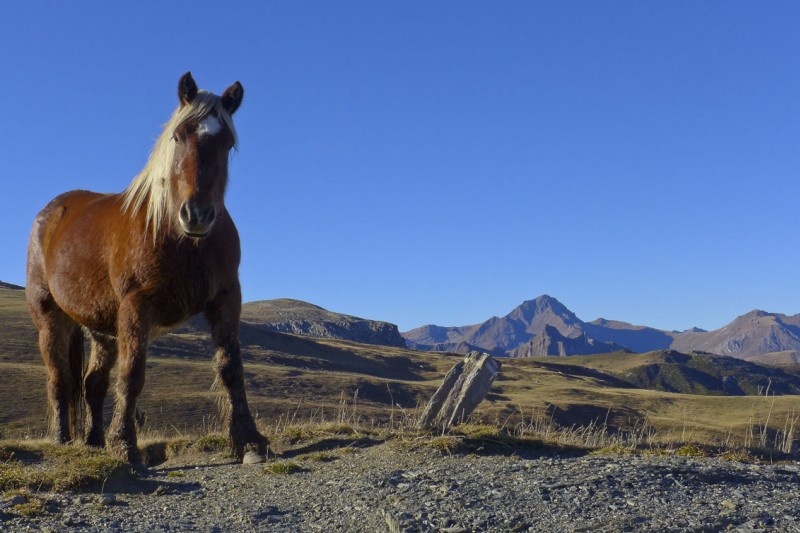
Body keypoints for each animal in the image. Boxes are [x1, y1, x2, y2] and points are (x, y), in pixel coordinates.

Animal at [25, 72, 268, 464]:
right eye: (178, 135)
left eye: (227, 142)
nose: (196, 215)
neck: (182, 238)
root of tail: (51, 212)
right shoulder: (136, 306)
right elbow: (132, 373)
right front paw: (124, 444)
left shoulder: (227, 298)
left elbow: (231, 369)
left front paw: (249, 440)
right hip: (50, 318)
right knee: (59, 379)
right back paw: (62, 438)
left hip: (102, 329)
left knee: (93, 384)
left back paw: (94, 440)